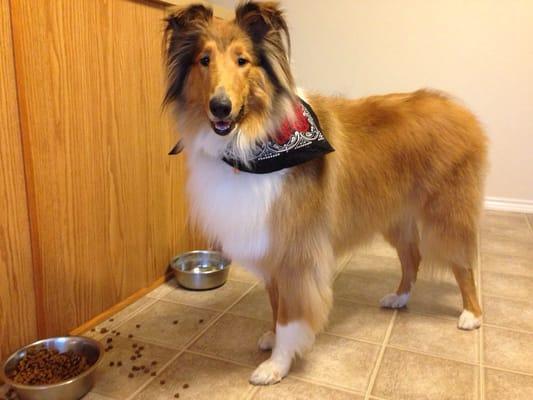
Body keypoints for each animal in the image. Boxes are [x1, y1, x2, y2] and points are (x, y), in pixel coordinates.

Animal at [162, 1, 486, 386]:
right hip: (395, 216)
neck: (251, 144)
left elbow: (290, 315)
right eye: (204, 60)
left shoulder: (296, 253)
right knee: (413, 258)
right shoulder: (271, 245)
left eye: (243, 60)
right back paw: (398, 297)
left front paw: (276, 365)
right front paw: (272, 338)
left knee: (463, 264)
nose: (220, 107)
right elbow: (275, 305)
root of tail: (460, 109)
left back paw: (471, 315)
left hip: (446, 214)